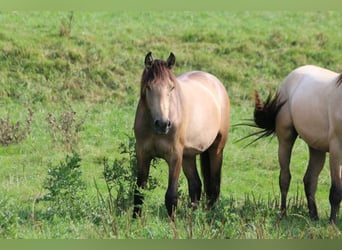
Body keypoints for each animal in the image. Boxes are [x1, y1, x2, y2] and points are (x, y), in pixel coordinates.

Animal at [133, 51, 230, 218]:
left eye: (171, 87)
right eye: (149, 87)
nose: (163, 124)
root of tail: (215, 82)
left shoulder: (175, 156)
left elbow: (171, 196)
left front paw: (172, 224)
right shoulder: (142, 154)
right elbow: (139, 192)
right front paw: (133, 221)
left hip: (216, 149)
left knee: (214, 188)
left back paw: (208, 216)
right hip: (188, 156)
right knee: (196, 185)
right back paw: (192, 216)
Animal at [247, 64, 342, 223]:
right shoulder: (337, 150)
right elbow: (336, 190)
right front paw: (332, 224)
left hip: (316, 147)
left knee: (310, 180)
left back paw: (314, 217)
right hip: (285, 139)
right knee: (285, 177)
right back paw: (282, 213)